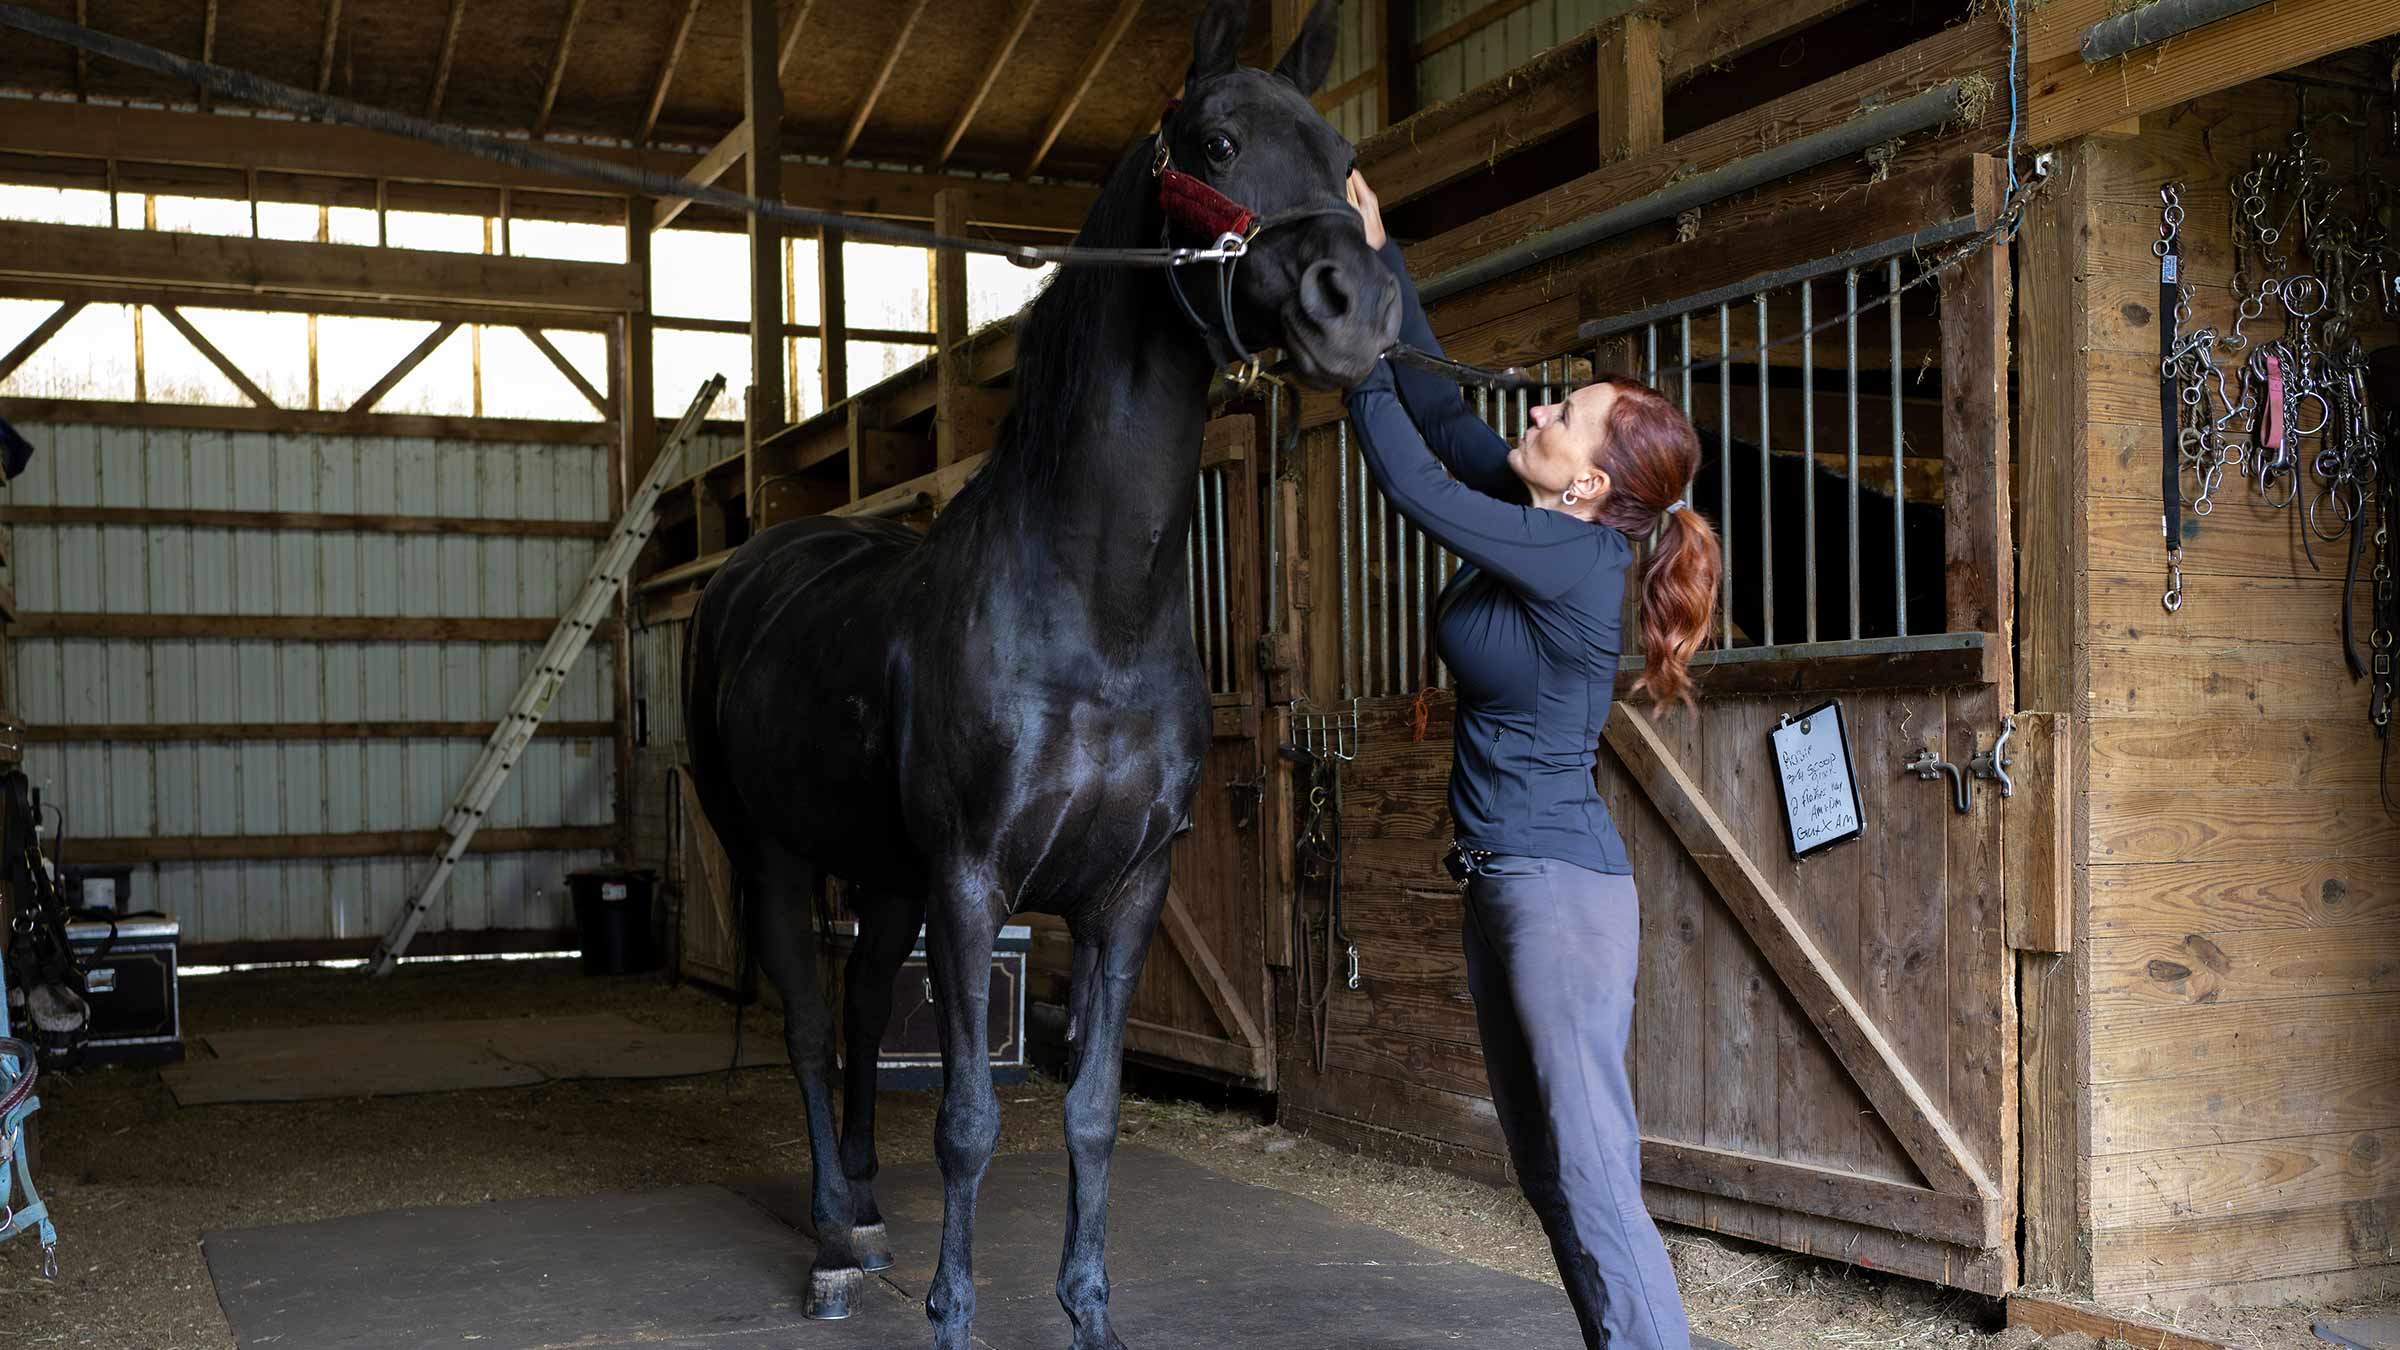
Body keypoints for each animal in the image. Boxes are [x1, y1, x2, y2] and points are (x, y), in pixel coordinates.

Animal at [682, 3, 1399, 1346]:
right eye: (1218, 143)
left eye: (1342, 159)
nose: (1360, 305)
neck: (1088, 608)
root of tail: (750, 576)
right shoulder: (975, 881)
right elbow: (967, 1119)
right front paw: (954, 1314)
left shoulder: (1126, 890)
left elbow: (1092, 1115)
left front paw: (1089, 1313)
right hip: (773, 856)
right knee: (806, 1026)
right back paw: (832, 1234)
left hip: (886, 874)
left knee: (863, 1011)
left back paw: (867, 1205)